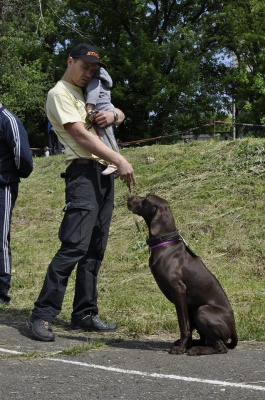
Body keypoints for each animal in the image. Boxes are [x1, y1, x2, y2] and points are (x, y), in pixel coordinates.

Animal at [126, 195, 237, 354]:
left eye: (146, 200)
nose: (128, 197)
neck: (165, 243)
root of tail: (234, 330)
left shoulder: (178, 290)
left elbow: (183, 326)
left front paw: (181, 348)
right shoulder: (185, 302)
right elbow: (187, 327)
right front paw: (184, 344)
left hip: (202, 310)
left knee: (221, 347)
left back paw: (197, 350)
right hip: (194, 310)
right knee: (207, 340)